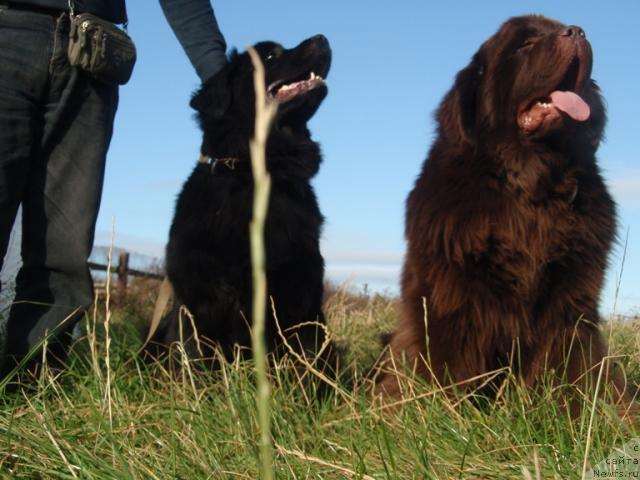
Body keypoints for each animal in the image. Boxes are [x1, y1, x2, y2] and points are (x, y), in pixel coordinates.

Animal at [148, 34, 332, 372]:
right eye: (271, 55)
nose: (323, 38)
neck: (256, 172)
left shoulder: (302, 288)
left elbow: (306, 359)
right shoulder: (197, 297)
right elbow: (193, 357)